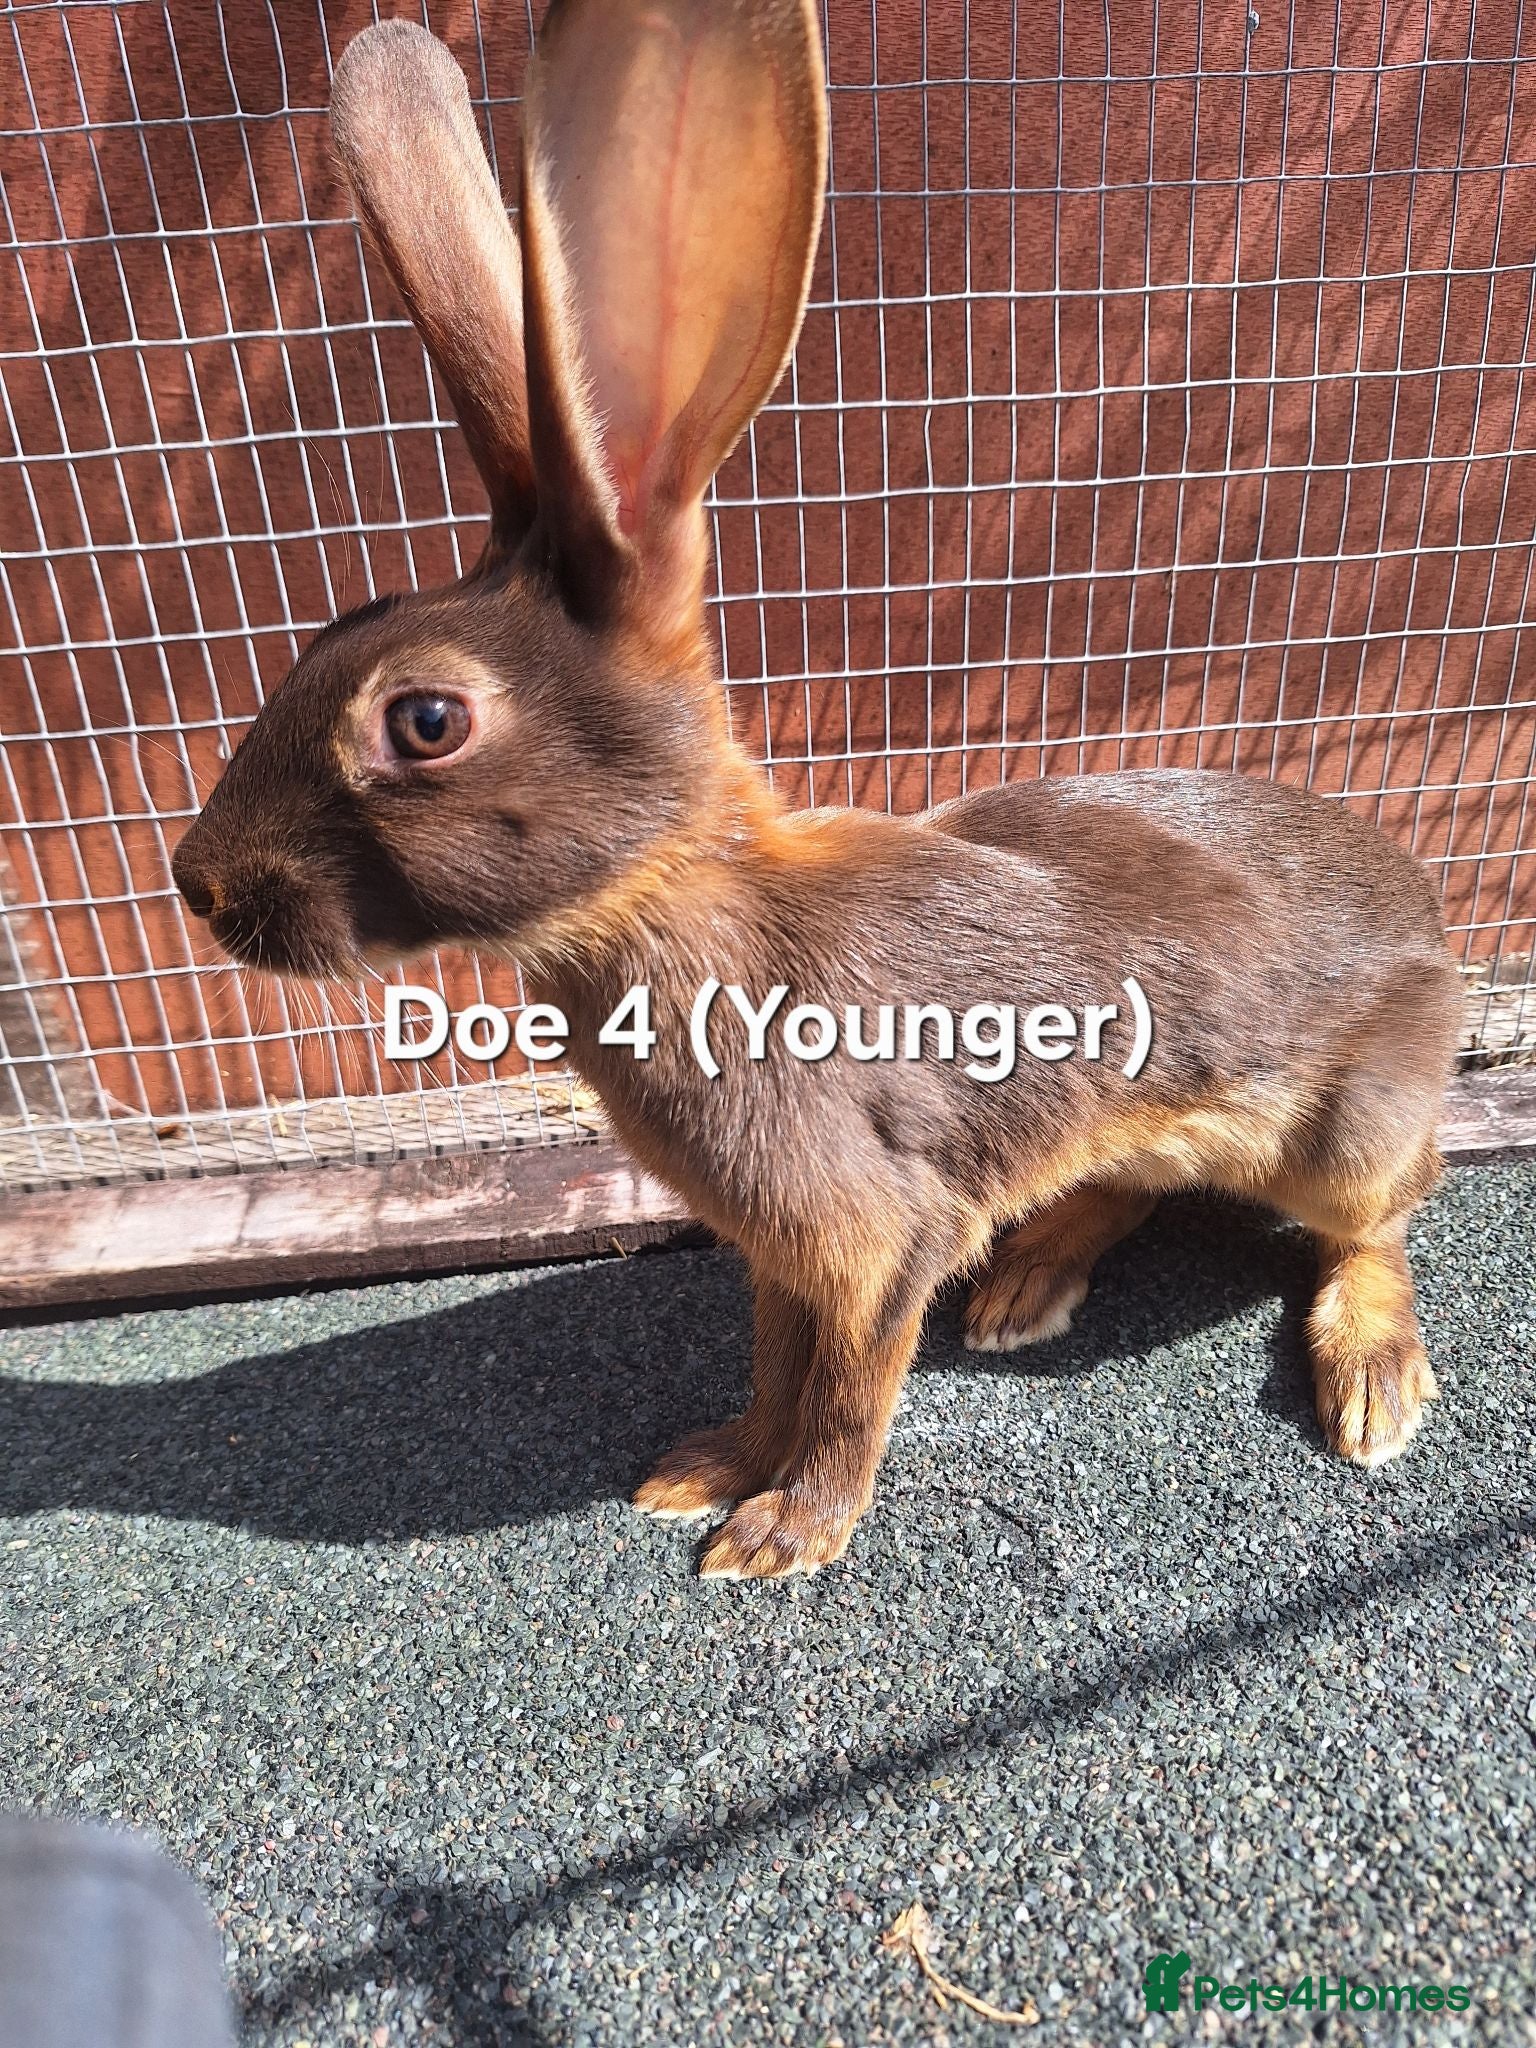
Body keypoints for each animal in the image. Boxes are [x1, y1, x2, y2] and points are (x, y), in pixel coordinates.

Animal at [172, 0, 1462, 1580]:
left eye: (424, 719)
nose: (198, 884)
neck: (682, 910)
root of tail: (1434, 916)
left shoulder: (872, 1228)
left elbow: (848, 1390)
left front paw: (786, 1532)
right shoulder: (784, 1255)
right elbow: (777, 1368)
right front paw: (707, 1470)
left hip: (1347, 1128)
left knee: (1380, 1216)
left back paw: (1372, 1376)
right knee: (1133, 1178)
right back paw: (1027, 1285)